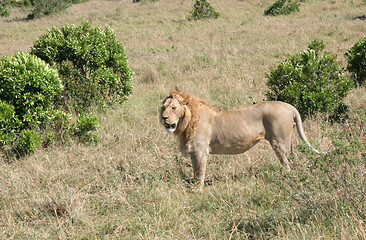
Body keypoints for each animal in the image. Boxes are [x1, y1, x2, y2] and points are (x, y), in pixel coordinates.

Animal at [160, 89, 324, 190]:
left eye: (173, 108)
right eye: (163, 108)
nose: (164, 118)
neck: (187, 121)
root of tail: (291, 107)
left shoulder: (200, 150)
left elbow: (200, 172)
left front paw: (198, 190)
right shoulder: (195, 151)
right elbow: (195, 171)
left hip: (279, 142)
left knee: (287, 164)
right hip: (286, 142)